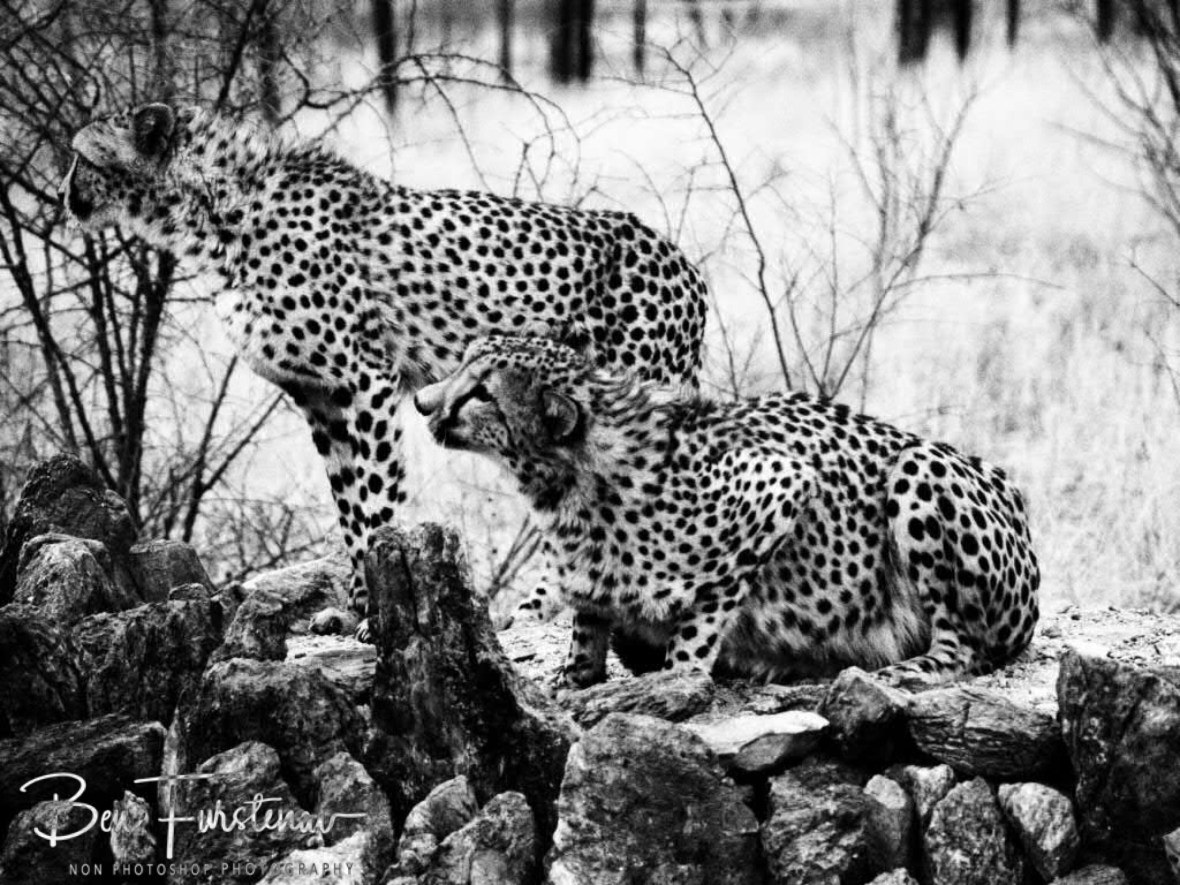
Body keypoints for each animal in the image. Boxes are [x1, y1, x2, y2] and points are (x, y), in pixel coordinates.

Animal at [58, 102, 708, 638]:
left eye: (80, 156)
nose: (65, 196)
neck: (219, 214)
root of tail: (681, 259)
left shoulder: (366, 382)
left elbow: (374, 505)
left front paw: (376, 615)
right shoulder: (319, 401)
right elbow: (348, 510)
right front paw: (350, 612)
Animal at [413, 331, 1041, 689]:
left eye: (482, 393)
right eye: (462, 365)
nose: (421, 402)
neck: (568, 483)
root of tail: (1010, 488)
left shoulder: (781, 487)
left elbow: (703, 616)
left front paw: (677, 680)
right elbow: (589, 622)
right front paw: (574, 678)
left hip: (921, 466)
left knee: (962, 646)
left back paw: (904, 668)